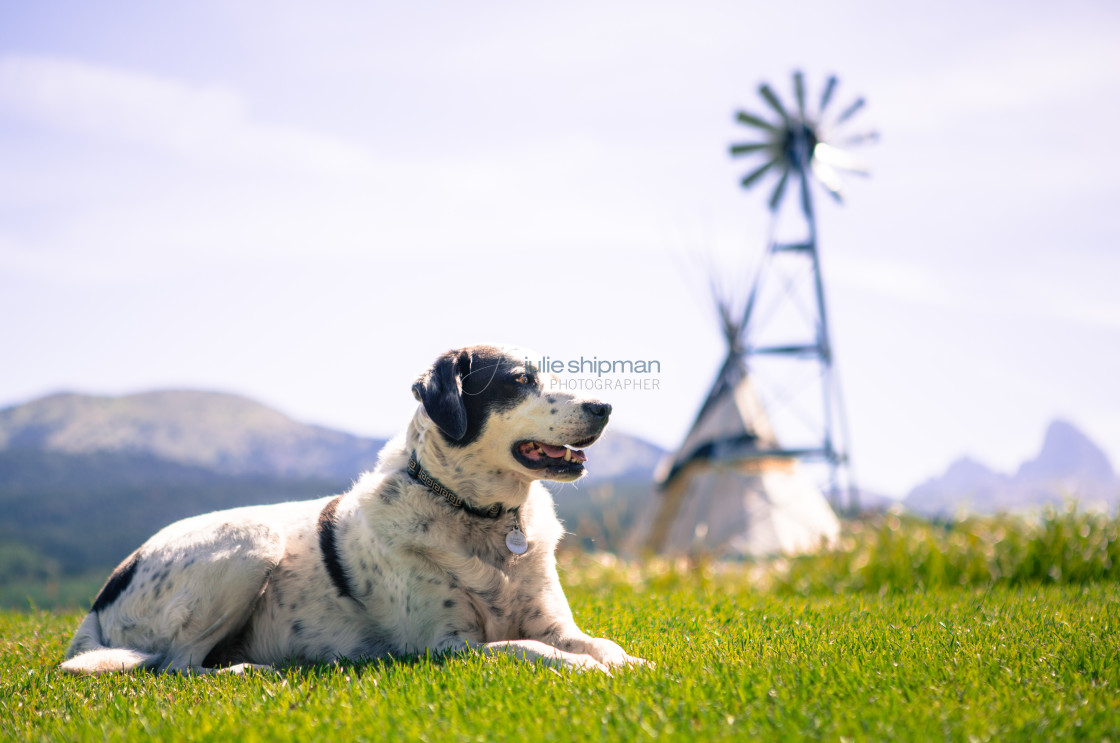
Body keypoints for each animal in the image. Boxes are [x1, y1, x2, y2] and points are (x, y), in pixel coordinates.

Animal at [63, 345, 649, 676]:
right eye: (520, 380)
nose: (605, 406)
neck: (480, 515)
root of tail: (102, 594)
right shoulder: (446, 645)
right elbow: (526, 648)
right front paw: (585, 669)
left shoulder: (552, 621)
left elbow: (602, 642)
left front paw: (633, 663)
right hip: (252, 538)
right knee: (177, 665)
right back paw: (250, 672)